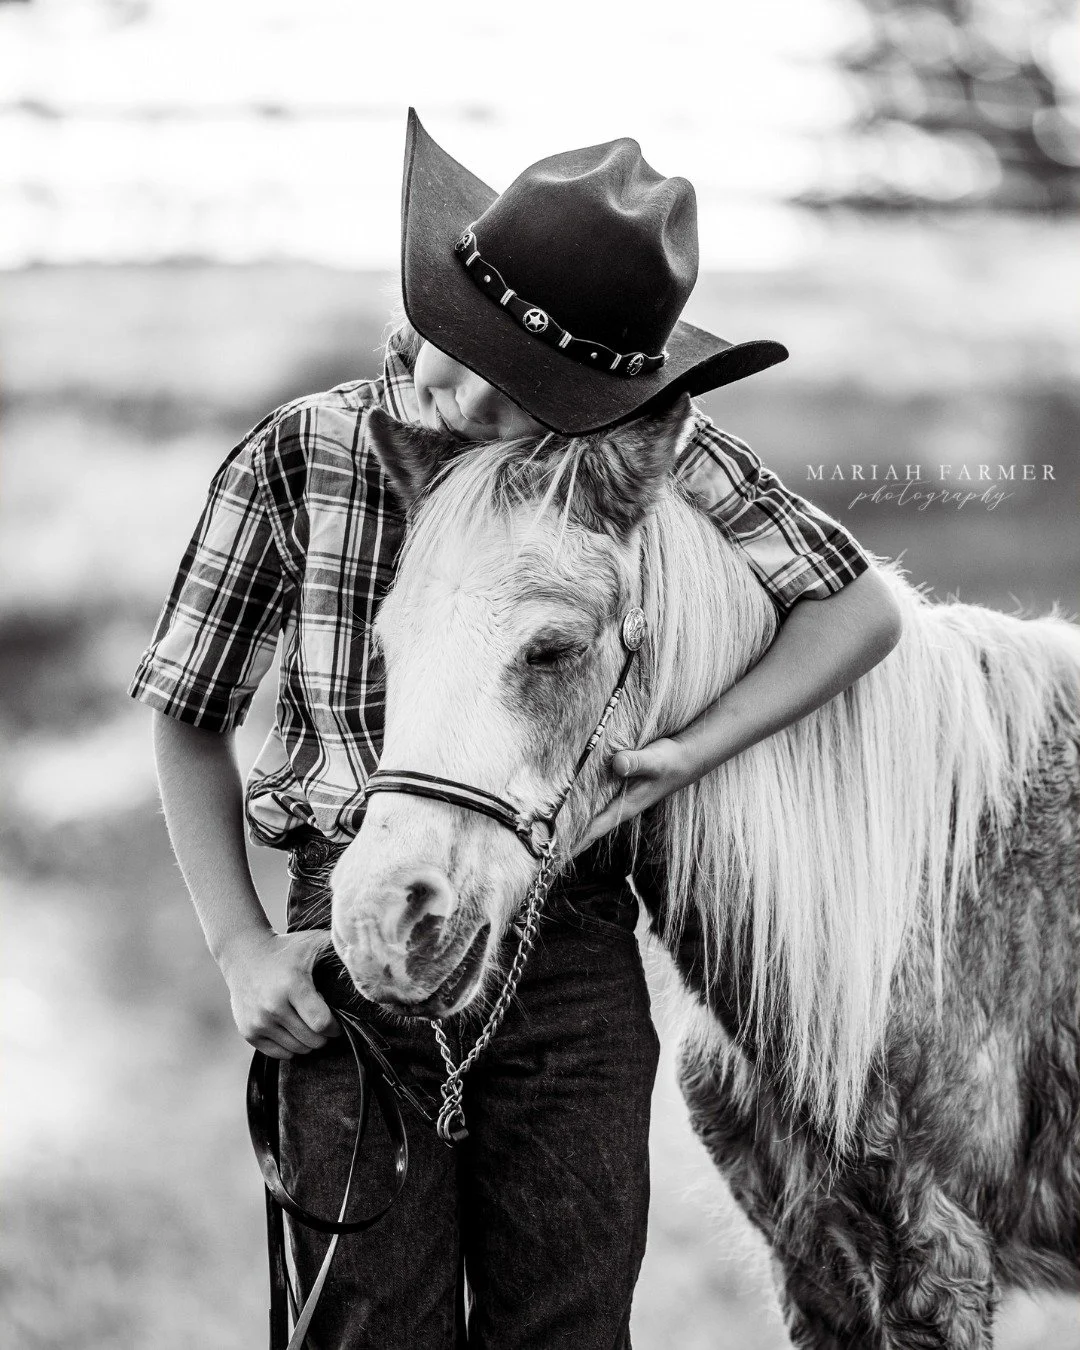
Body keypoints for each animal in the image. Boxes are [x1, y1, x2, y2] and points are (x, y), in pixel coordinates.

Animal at [328, 399, 1080, 1348]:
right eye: (387, 645)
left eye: (551, 650)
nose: (385, 922)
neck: (916, 914)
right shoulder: (816, 1263)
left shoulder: (938, 1261)